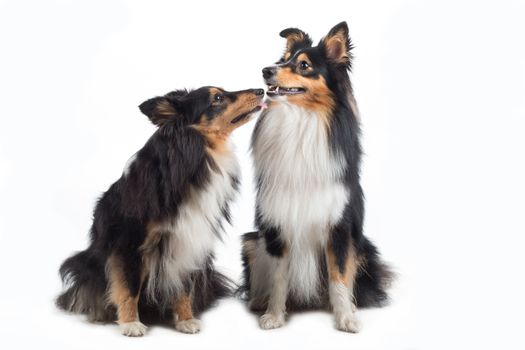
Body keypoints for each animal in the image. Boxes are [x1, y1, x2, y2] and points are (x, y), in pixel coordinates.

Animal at [56, 86, 266, 334]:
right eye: (218, 98)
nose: (261, 90)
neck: (194, 155)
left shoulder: (187, 240)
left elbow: (182, 286)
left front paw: (185, 319)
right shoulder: (128, 242)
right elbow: (129, 286)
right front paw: (130, 323)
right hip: (86, 262)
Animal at [239, 23, 390, 332]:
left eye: (304, 65)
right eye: (284, 60)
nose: (266, 70)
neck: (301, 118)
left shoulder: (339, 226)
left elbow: (339, 275)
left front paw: (346, 318)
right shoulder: (277, 223)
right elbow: (279, 278)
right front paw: (274, 315)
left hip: (363, 248)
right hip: (251, 242)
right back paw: (258, 301)